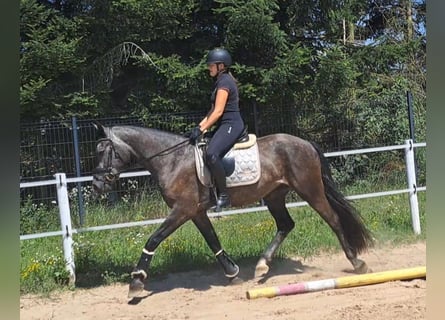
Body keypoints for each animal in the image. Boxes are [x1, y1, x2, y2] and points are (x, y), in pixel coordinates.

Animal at [91, 122, 372, 298]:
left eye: (104, 151)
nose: (96, 185)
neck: (171, 160)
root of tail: (304, 143)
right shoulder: (196, 212)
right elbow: (212, 239)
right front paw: (232, 272)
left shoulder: (183, 210)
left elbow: (154, 239)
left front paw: (136, 282)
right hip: (274, 195)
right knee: (285, 224)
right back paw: (262, 266)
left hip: (310, 190)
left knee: (333, 219)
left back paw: (357, 263)